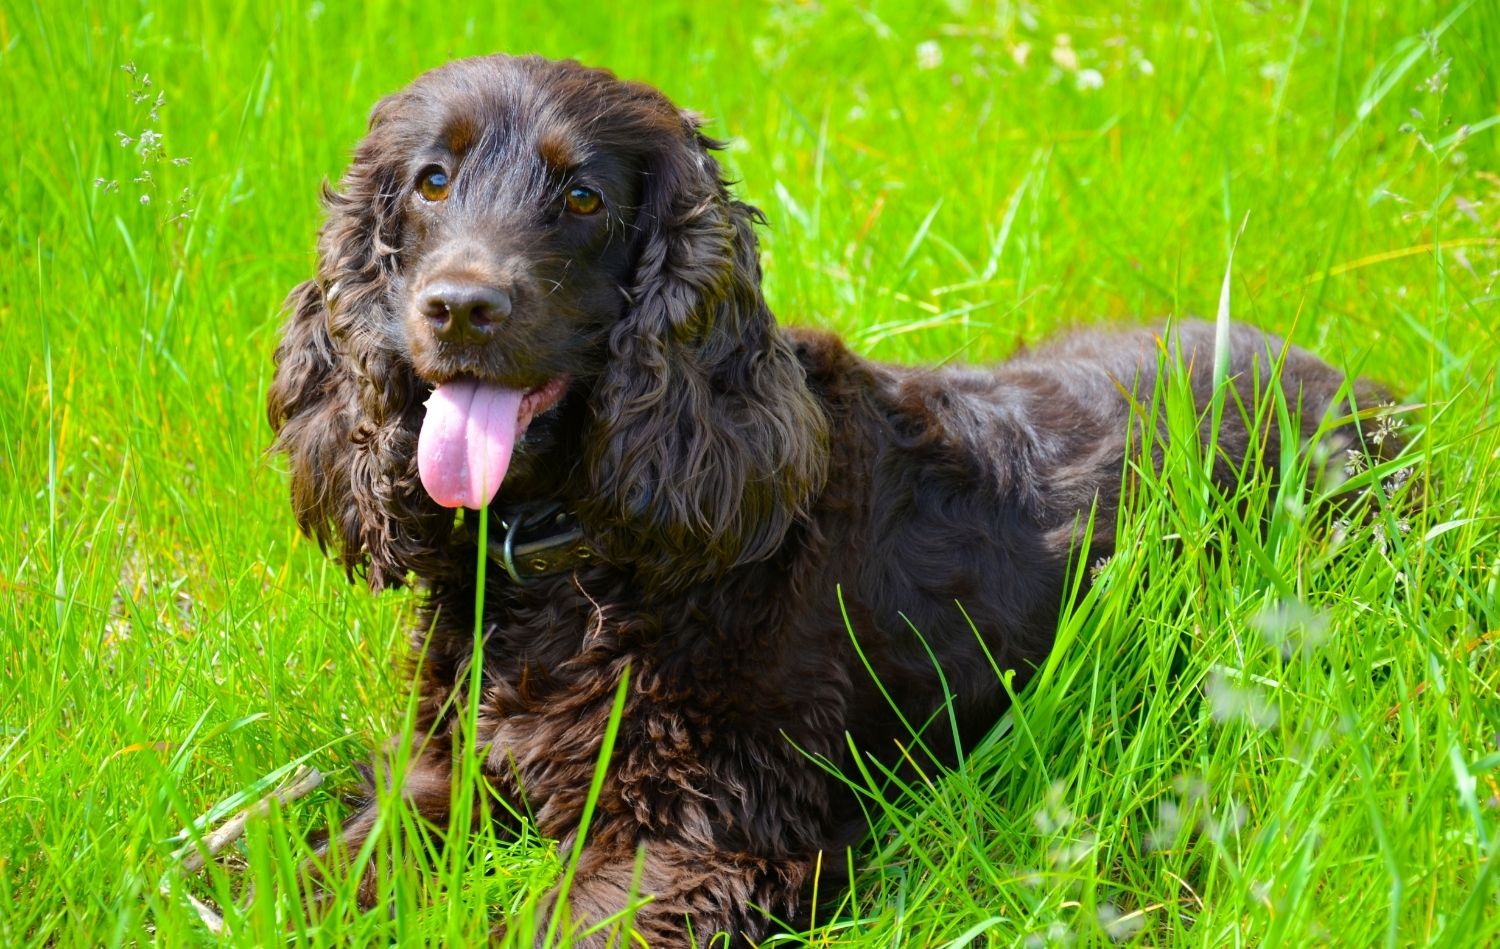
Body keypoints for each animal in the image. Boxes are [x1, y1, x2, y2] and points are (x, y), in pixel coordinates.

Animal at [267, 53, 1380, 947]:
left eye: (582, 197)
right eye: (431, 181)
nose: (461, 307)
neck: (575, 561)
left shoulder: (706, 835)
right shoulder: (446, 767)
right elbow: (310, 863)